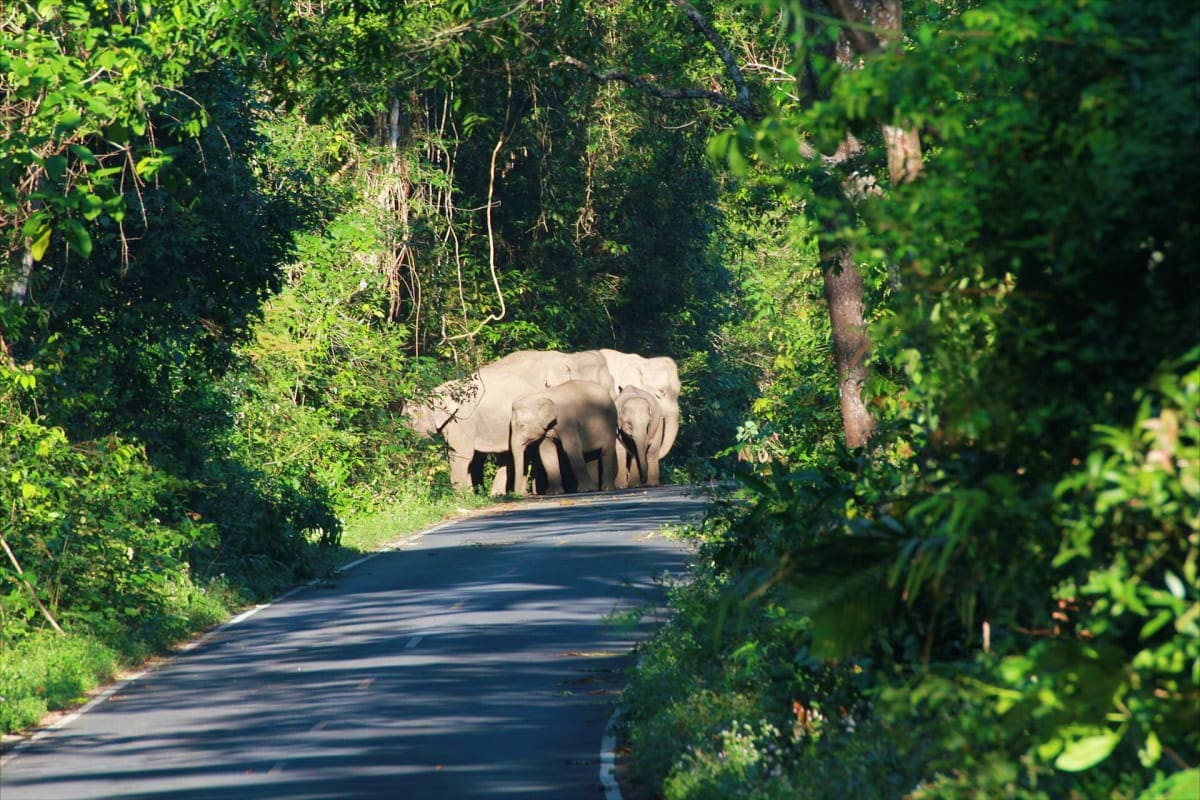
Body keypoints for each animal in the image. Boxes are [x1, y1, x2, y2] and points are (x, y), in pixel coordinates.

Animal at [404, 368, 539, 494]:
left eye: (412, 420)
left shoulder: (463, 419)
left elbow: (461, 454)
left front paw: (461, 497)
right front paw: (469, 494)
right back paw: (499, 495)